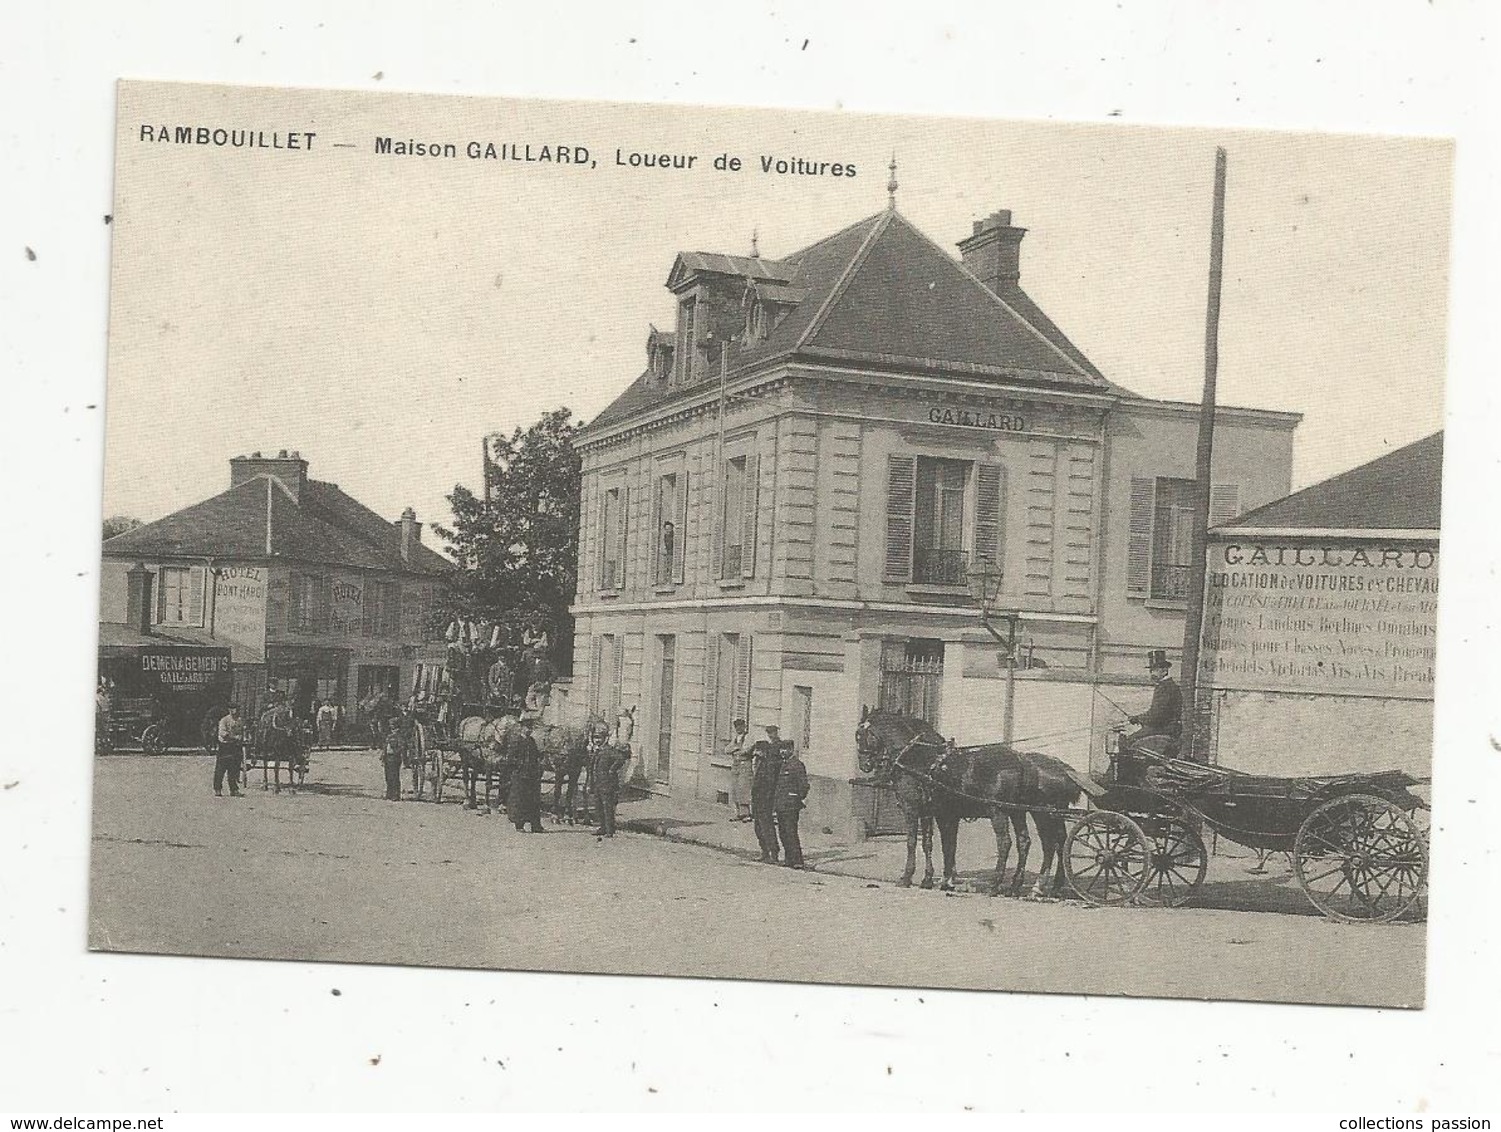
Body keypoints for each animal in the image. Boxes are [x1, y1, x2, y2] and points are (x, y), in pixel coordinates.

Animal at [858, 702, 1092, 894]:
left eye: (859, 734)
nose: (864, 765)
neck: (917, 759)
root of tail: (1023, 761)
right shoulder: (941, 814)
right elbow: (942, 844)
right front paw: (940, 880)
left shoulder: (913, 809)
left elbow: (913, 842)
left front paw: (908, 877)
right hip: (1020, 812)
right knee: (1030, 842)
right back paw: (1022, 885)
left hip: (1009, 812)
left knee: (1015, 843)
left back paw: (1000, 885)